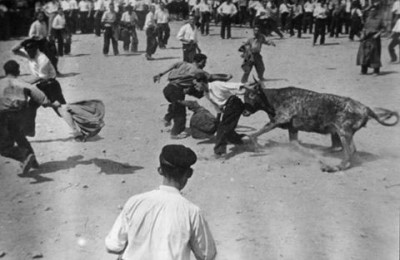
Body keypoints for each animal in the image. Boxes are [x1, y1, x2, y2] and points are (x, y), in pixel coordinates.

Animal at [242, 82, 398, 173]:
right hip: (337, 132)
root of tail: (366, 109)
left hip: (343, 132)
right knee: (337, 147)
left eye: (251, 96)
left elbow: (254, 134)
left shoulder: (280, 119)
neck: (273, 98)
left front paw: (256, 147)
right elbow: (295, 144)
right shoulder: (292, 129)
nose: (243, 112)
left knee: (349, 151)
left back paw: (335, 167)